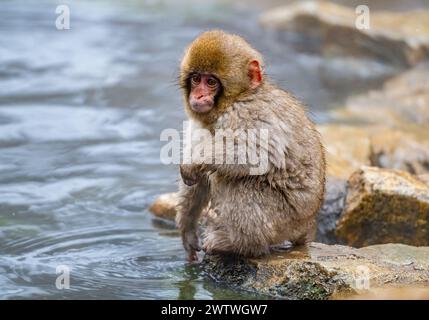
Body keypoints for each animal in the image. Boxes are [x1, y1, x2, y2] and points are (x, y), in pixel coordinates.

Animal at [174, 30, 324, 262]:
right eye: (196, 79)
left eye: (211, 82)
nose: (198, 95)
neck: (238, 97)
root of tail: (308, 224)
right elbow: (198, 181)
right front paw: (188, 228)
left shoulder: (248, 112)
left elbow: (257, 154)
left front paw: (194, 162)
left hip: (283, 219)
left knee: (234, 180)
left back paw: (242, 245)